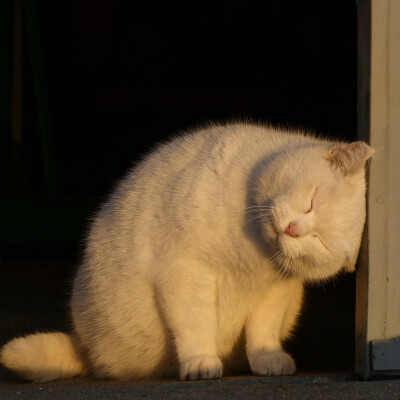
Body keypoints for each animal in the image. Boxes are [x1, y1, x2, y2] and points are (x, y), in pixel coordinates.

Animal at [0, 122, 376, 382]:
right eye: (312, 200)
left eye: (319, 243)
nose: (294, 230)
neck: (252, 252)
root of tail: (86, 348)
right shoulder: (187, 272)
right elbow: (196, 323)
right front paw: (200, 363)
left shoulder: (275, 291)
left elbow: (263, 330)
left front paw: (267, 359)